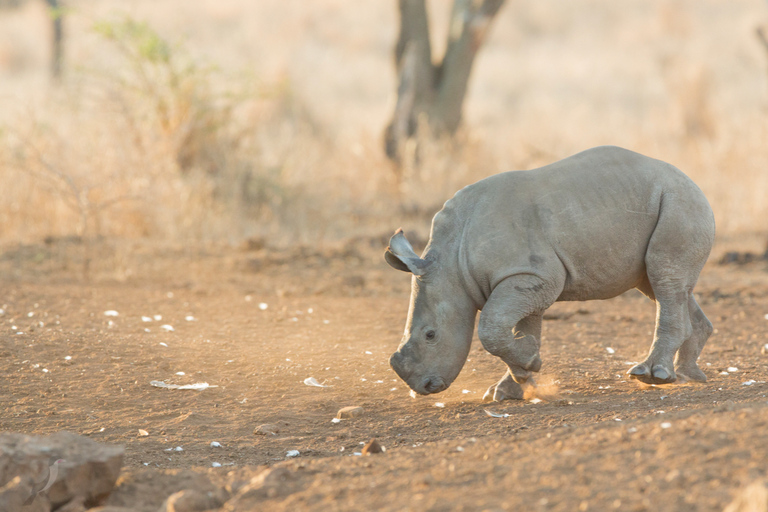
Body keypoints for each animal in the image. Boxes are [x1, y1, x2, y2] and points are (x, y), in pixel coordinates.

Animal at [388, 146, 716, 402]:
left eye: (431, 335)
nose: (422, 387)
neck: (451, 263)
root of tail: (693, 182)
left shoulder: (532, 275)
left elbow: (491, 328)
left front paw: (527, 368)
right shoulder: (529, 278)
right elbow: (521, 329)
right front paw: (515, 383)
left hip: (679, 203)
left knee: (664, 279)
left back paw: (652, 375)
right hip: (667, 204)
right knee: (663, 285)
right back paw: (686, 376)